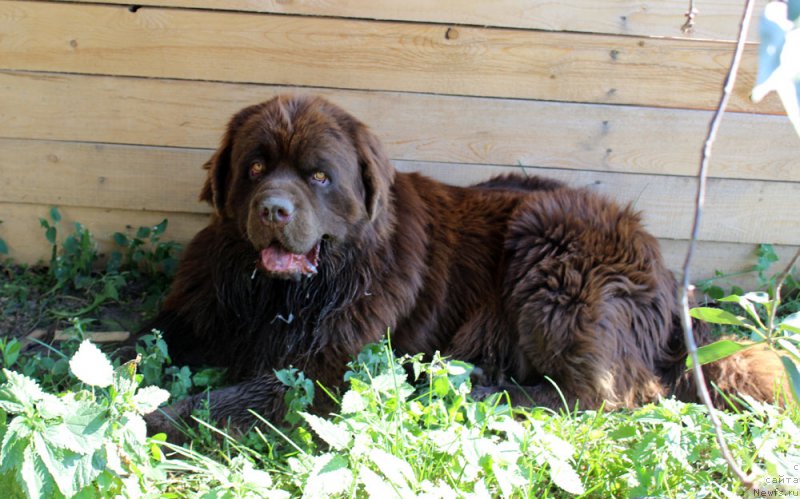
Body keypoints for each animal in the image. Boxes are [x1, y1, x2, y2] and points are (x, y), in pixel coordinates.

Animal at [142, 94, 780, 438]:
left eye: (319, 176)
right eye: (255, 167)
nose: (273, 208)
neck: (282, 296)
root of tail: (670, 277)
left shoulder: (325, 371)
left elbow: (229, 398)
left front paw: (151, 419)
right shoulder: (199, 309)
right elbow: (139, 344)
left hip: (552, 254)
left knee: (602, 393)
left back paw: (482, 393)